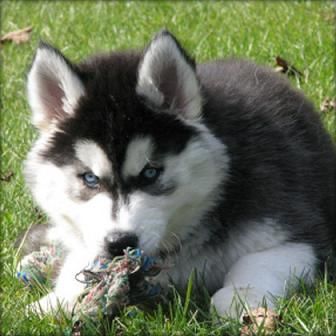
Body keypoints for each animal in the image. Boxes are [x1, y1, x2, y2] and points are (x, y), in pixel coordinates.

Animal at [22, 30, 334, 316]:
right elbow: (81, 261)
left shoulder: (298, 233)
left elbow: (254, 262)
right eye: (90, 178)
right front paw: (58, 299)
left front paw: (239, 297)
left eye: (150, 173)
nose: (119, 244)